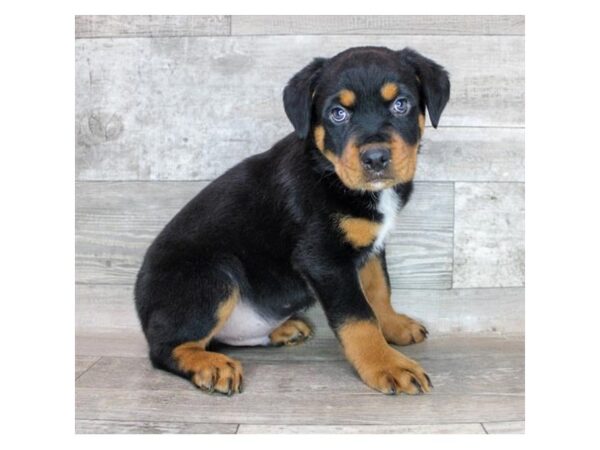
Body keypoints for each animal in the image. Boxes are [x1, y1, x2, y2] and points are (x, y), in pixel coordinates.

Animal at [134, 45, 448, 396]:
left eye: (401, 104)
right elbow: (358, 317)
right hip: (214, 274)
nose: (376, 158)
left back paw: (284, 330)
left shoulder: (370, 246)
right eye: (338, 113)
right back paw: (211, 366)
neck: (330, 172)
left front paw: (393, 326)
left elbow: (379, 289)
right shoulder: (324, 259)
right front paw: (386, 365)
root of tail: (141, 308)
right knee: (165, 348)